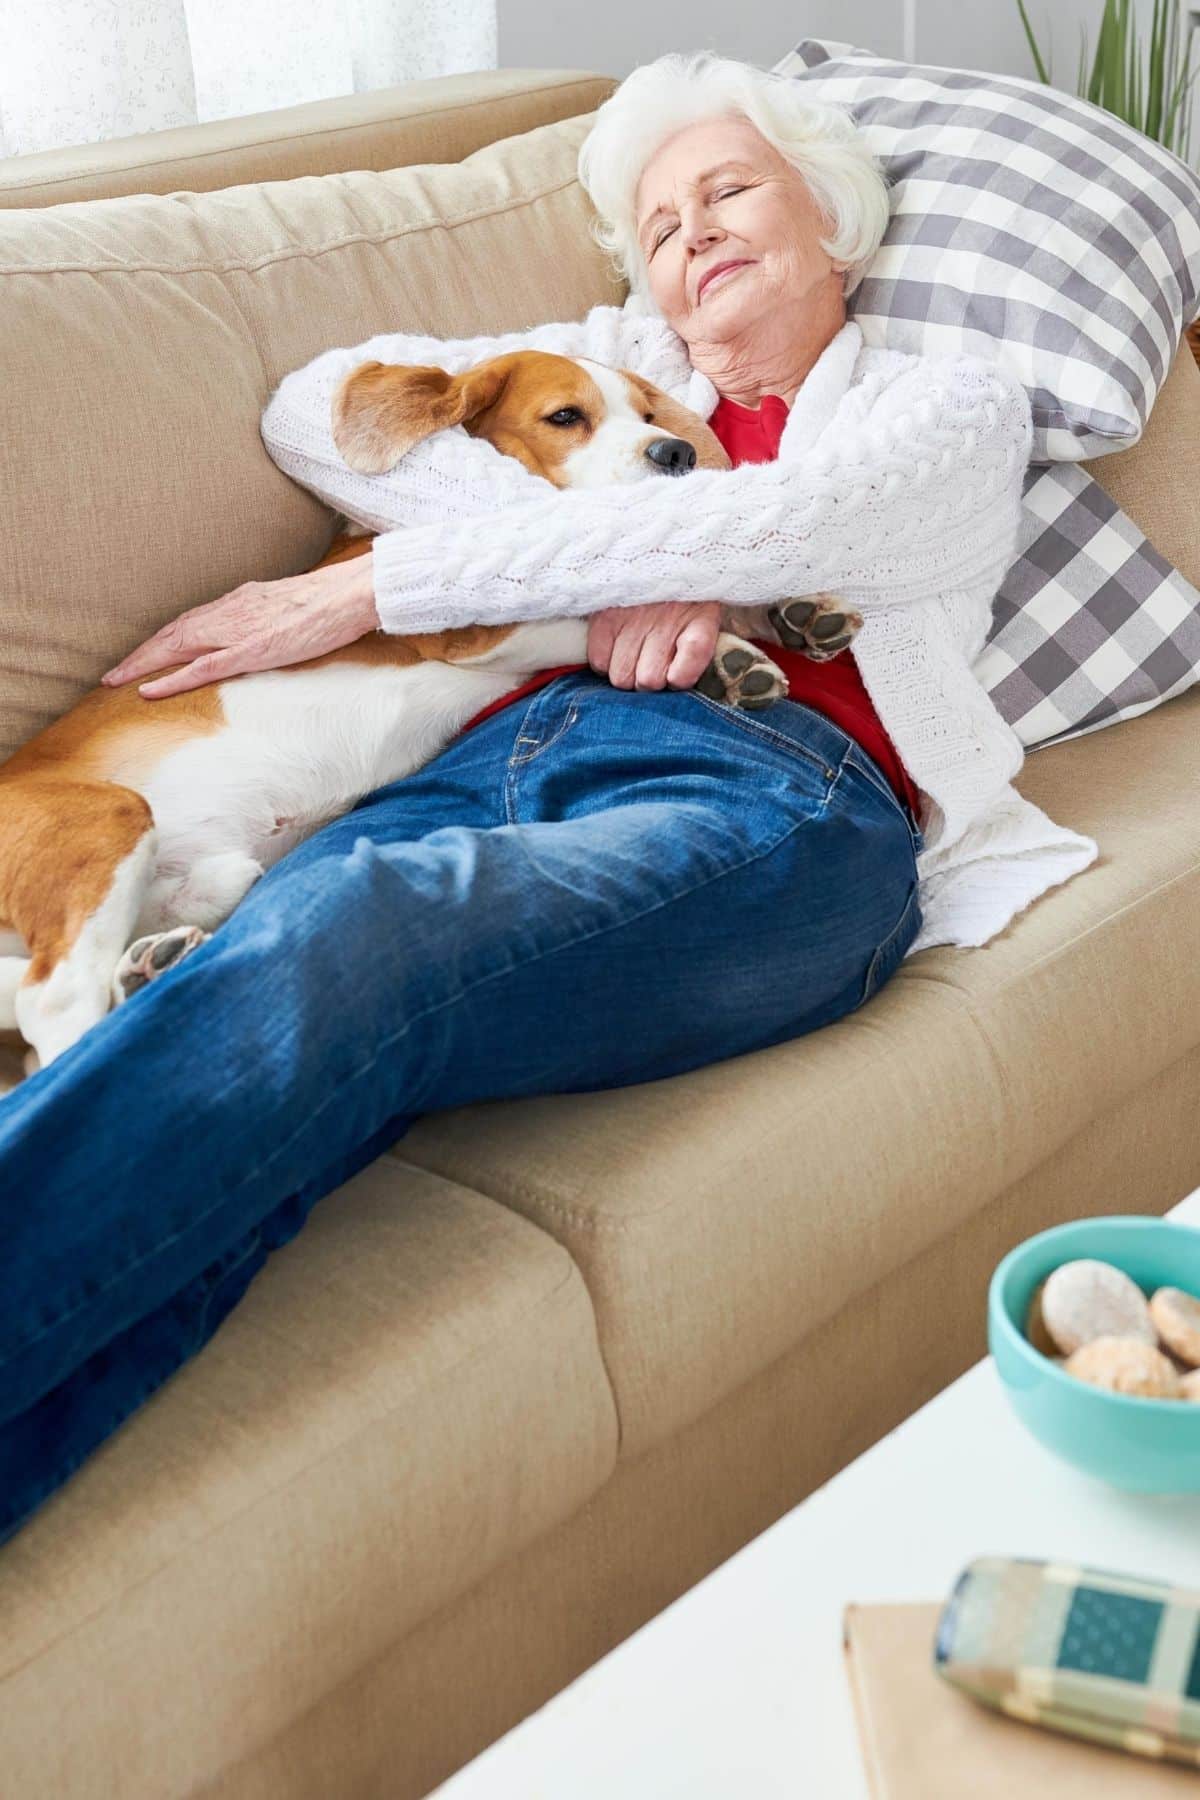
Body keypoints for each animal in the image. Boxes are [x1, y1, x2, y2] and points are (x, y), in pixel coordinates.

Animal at [0, 351, 863, 1065]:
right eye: (565, 417)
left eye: (649, 413)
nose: (677, 454)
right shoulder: (471, 623)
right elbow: (616, 596)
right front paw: (731, 631)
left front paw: (772, 624)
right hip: (106, 818)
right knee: (53, 1007)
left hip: (179, 883)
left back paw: (149, 967)